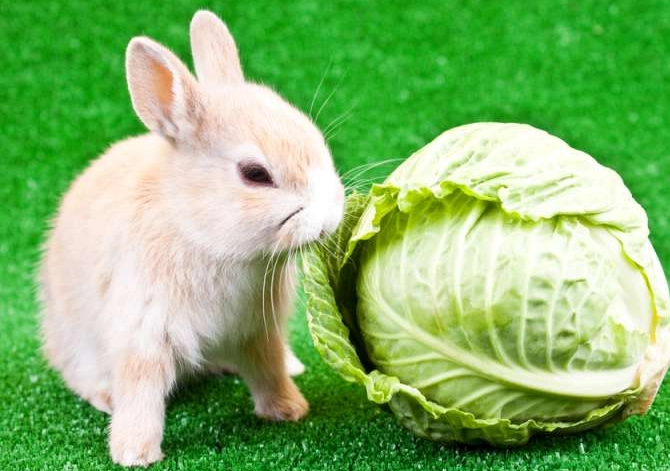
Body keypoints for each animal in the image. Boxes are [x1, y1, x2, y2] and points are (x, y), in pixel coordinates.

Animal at [38, 10, 344, 467]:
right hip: (77, 341)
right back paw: (106, 396)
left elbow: (268, 369)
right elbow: (142, 393)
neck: (202, 234)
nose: (329, 220)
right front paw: (134, 453)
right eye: (255, 174)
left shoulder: (258, 329)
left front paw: (289, 410)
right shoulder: (144, 331)